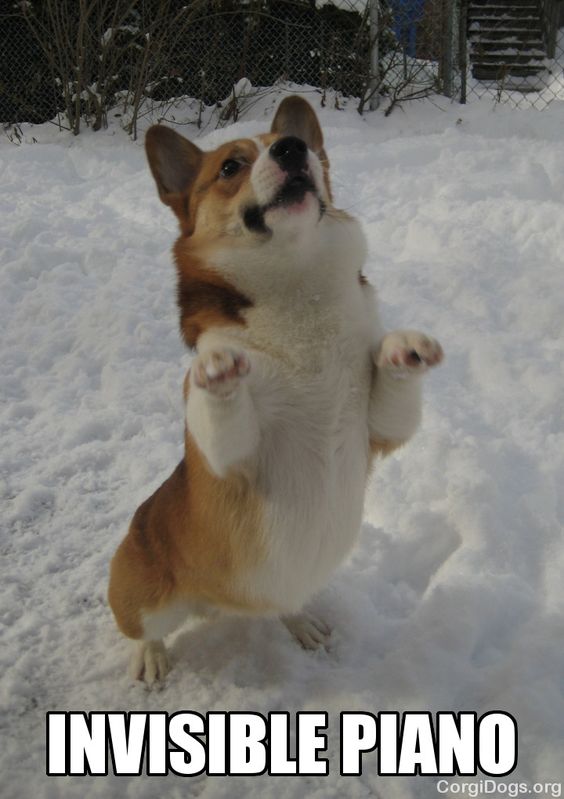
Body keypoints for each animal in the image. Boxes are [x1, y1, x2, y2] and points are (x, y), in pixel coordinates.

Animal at [108, 94, 442, 680]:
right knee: (144, 629)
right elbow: (221, 407)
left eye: (299, 144)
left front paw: (403, 349)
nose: (291, 148)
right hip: (145, 595)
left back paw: (300, 620)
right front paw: (217, 369)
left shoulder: (379, 430)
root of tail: (223, 605)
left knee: (282, 607)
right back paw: (151, 657)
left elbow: (394, 392)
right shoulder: (232, 457)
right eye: (230, 167)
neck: (297, 286)